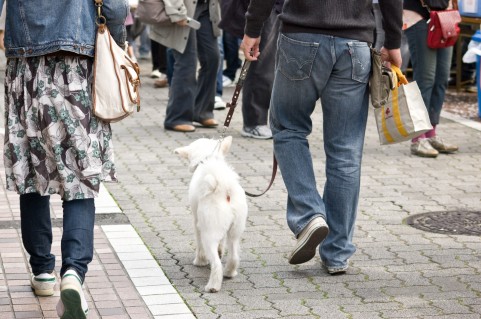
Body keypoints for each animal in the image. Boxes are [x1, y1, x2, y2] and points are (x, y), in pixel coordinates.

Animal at [173, 136, 248, 294]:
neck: (209, 158)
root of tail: (225, 189)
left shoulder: (197, 222)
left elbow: (199, 244)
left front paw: (200, 261)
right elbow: (222, 244)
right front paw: (220, 251)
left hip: (210, 232)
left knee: (216, 263)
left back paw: (213, 285)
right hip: (235, 231)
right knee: (234, 256)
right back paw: (229, 272)